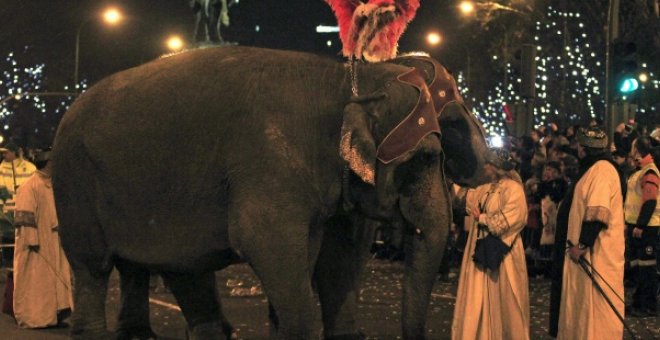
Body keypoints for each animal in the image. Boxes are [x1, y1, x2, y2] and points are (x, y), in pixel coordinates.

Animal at [51, 45, 488, 340]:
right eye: (426, 159)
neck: (343, 81)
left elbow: (334, 256)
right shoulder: (268, 162)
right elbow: (270, 246)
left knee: (173, 268)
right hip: (74, 181)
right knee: (93, 266)